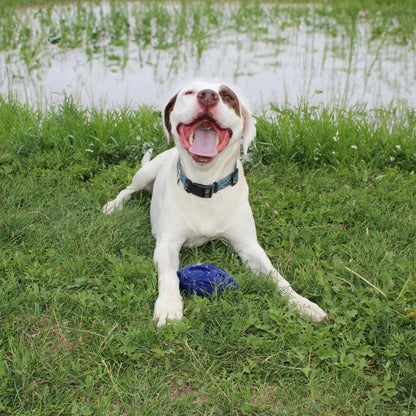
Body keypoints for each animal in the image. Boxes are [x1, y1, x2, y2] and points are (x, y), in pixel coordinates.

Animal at [102, 81, 326, 326]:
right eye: (189, 92)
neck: (205, 184)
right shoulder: (167, 244)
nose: (208, 96)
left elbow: (276, 275)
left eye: (228, 97)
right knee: (128, 189)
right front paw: (169, 306)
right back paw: (114, 205)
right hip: (146, 173)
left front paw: (301, 302)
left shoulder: (248, 246)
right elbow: (169, 274)